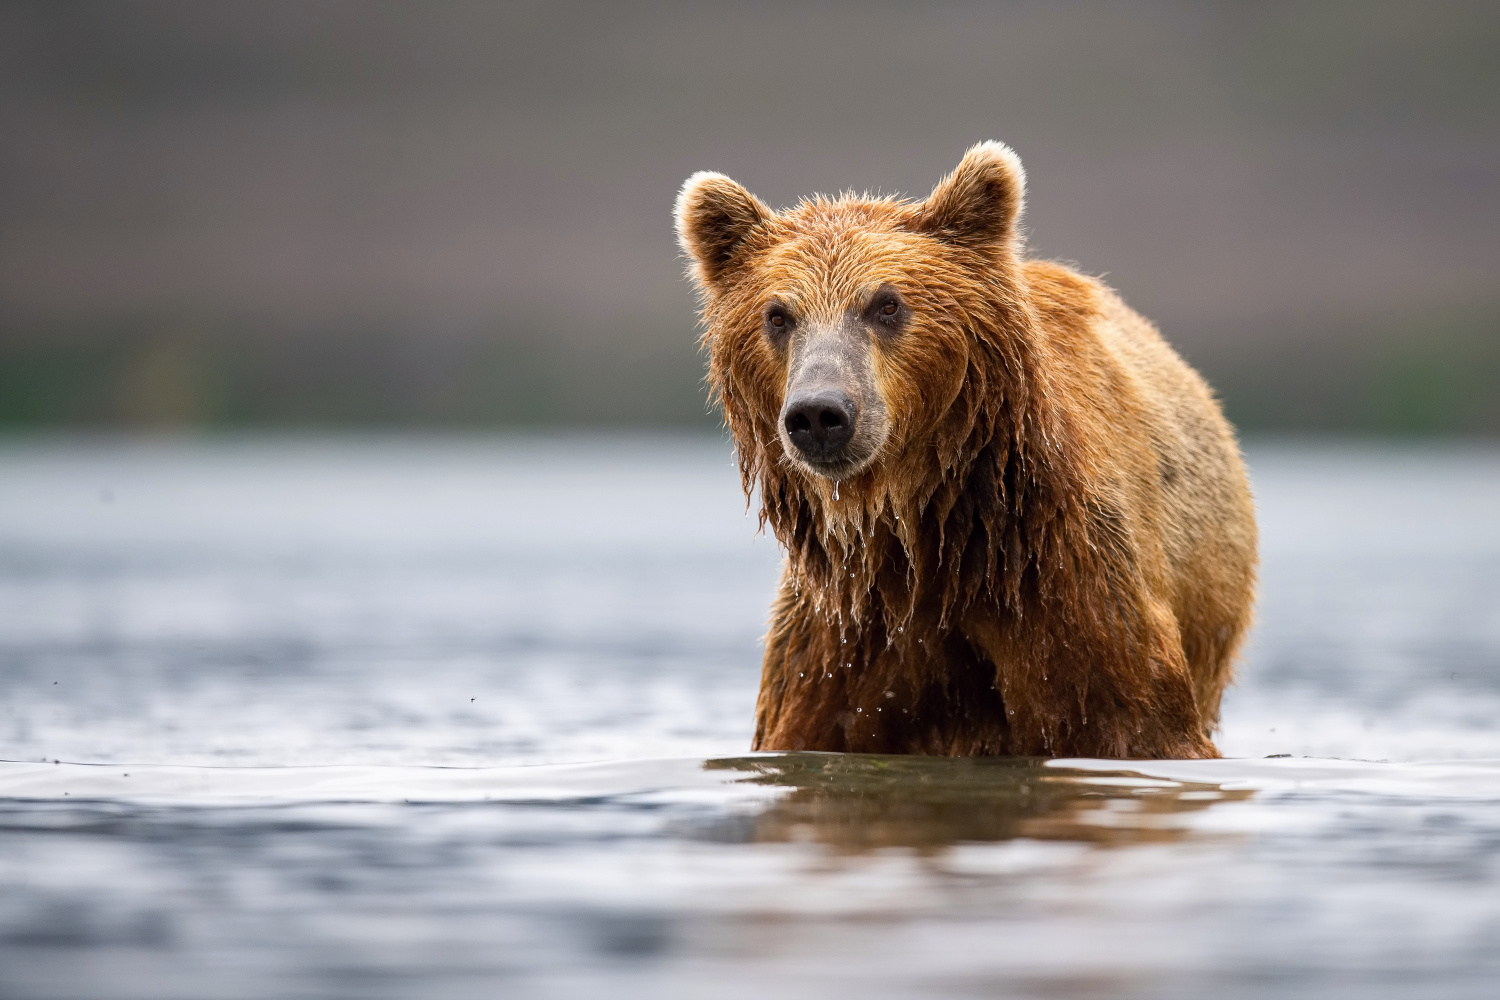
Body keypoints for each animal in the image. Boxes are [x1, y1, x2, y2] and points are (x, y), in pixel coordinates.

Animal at [678, 142, 1254, 758]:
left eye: (886, 304)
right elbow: (807, 720)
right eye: (778, 315)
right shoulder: (844, 636)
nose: (819, 413)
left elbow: (1136, 722)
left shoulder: (1072, 580)